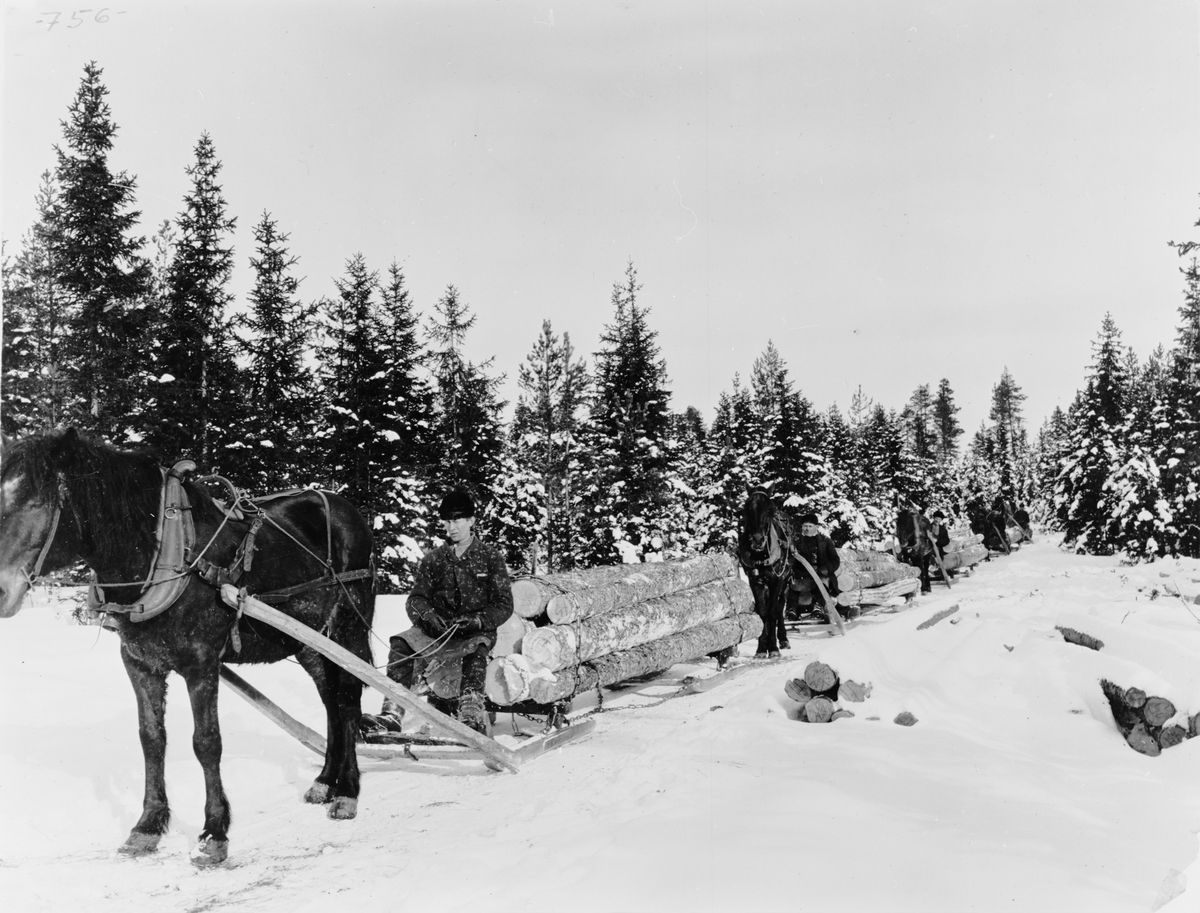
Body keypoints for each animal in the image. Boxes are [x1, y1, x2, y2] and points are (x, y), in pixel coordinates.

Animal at [0, 431, 372, 863]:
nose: (1, 591)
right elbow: (151, 739)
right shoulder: (139, 663)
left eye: (35, 502)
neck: (162, 555)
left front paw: (215, 831)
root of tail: (344, 506)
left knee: (347, 698)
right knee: (330, 699)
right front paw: (148, 825)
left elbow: (206, 743)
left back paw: (347, 791)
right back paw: (325, 781)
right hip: (308, 640)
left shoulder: (201, 663)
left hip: (349, 626)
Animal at [729, 484, 796, 657]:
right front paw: (761, 648)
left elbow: (772, 612)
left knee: (780, 606)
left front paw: (773, 648)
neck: (761, 555)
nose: (758, 540)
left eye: (769, 509)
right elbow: (762, 613)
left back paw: (783, 639)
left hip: (785, 581)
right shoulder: (755, 581)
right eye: (747, 508)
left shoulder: (777, 579)